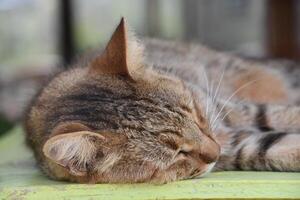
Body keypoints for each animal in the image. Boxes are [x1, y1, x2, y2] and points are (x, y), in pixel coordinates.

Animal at [24, 18, 300, 184]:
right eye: (179, 153)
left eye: (197, 114)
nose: (217, 150)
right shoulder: (239, 145)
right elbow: (274, 146)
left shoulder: (227, 109)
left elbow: (279, 114)